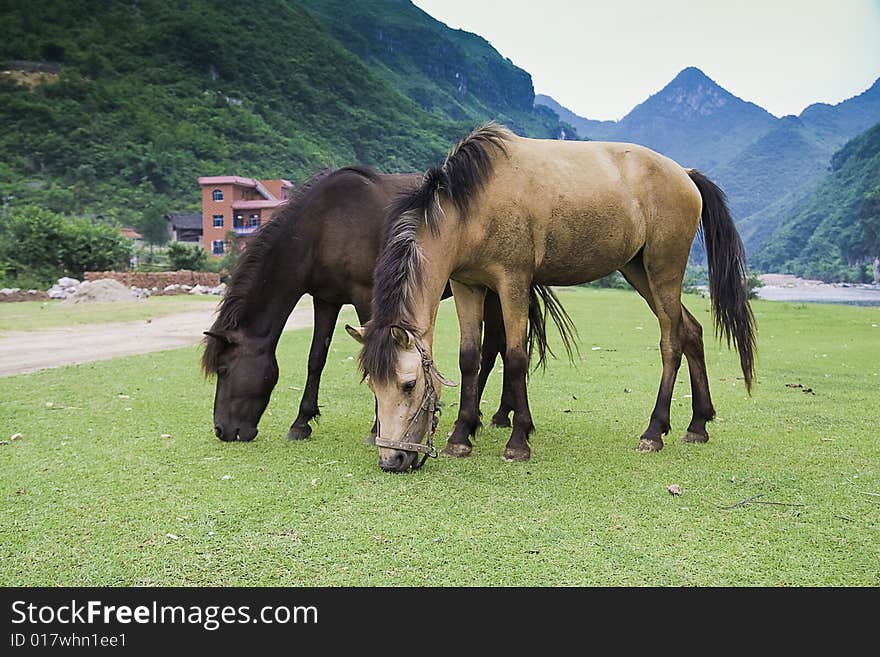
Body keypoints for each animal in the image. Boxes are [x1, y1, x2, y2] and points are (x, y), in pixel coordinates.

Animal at [200, 167, 576, 446]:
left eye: (224, 370)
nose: (222, 430)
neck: (324, 225)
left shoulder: (366, 296)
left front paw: (374, 428)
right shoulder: (326, 299)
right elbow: (315, 359)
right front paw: (302, 421)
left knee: (495, 347)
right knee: (498, 344)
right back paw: (498, 414)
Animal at [348, 123, 752, 472]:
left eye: (409, 384)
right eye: (372, 385)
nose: (392, 460)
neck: (472, 207)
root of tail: (685, 173)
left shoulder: (512, 281)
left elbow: (515, 358)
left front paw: (518, 440)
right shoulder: (467, 285)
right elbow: (469, 359)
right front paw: (461, 437)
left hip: (663, 269)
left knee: (671, 340)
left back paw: (654, 431)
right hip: (639, 271)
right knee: (691, 330)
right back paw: (698, 425)